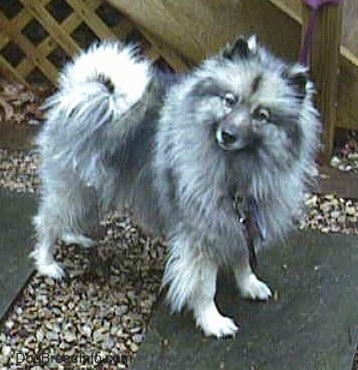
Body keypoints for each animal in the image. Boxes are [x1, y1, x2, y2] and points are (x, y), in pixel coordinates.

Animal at [32, 35, 320, 338]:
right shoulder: (201, 234)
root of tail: (87, 89)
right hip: (75, 187)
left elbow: (242, 259)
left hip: (93, 190)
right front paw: (212, 321)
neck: (237, 167)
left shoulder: (240, 223)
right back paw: (47, 263)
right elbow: (205, 286)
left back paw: (74, 236)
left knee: (65, 218)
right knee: (47, 222)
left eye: (261, 115)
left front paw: (248, 284)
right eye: (229, 101)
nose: (228, 135)